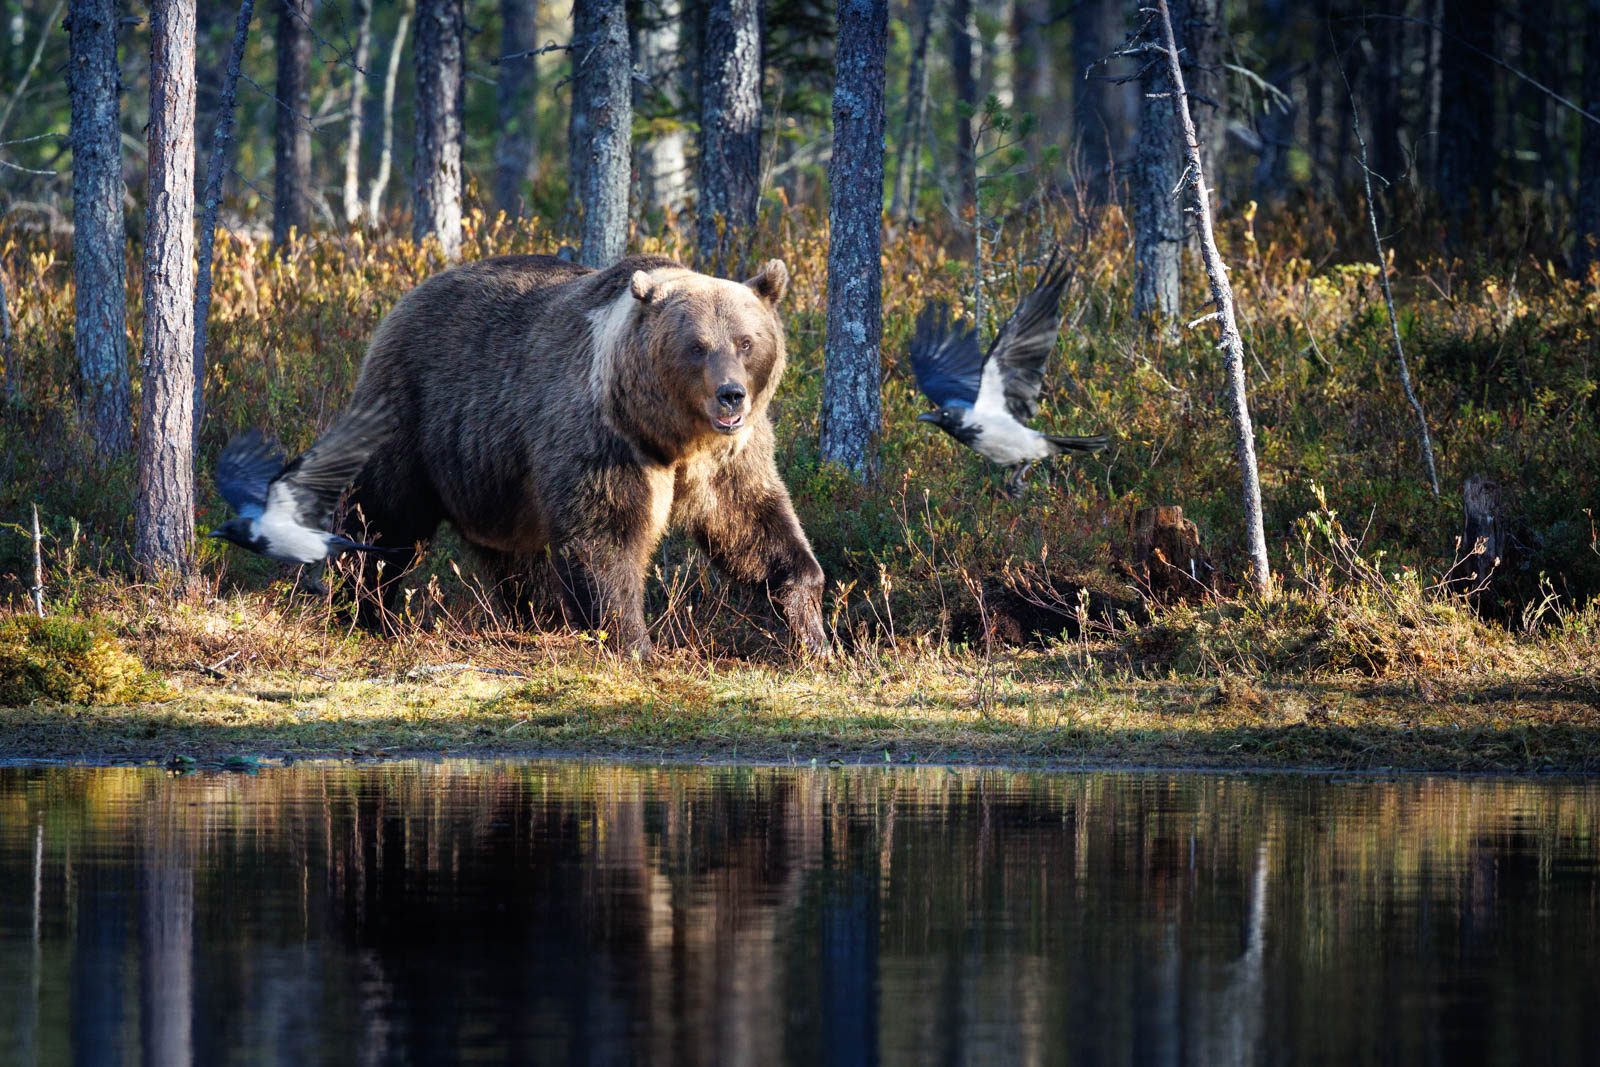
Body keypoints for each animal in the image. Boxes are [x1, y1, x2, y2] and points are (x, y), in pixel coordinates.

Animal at [341, 253, 828, 659]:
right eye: (697, 346)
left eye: (746, 342)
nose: (731, 395)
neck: (673, 435)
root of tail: (410, 295)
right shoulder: (605, 439)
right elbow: (604, 536)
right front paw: (633, 643)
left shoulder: (728, 458)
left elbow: (750, 524)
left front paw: (811, 630)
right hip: (415, 414)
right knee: (382, 517)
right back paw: (363, 608)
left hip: (500, 483)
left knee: (519, 559)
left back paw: (539, 619)